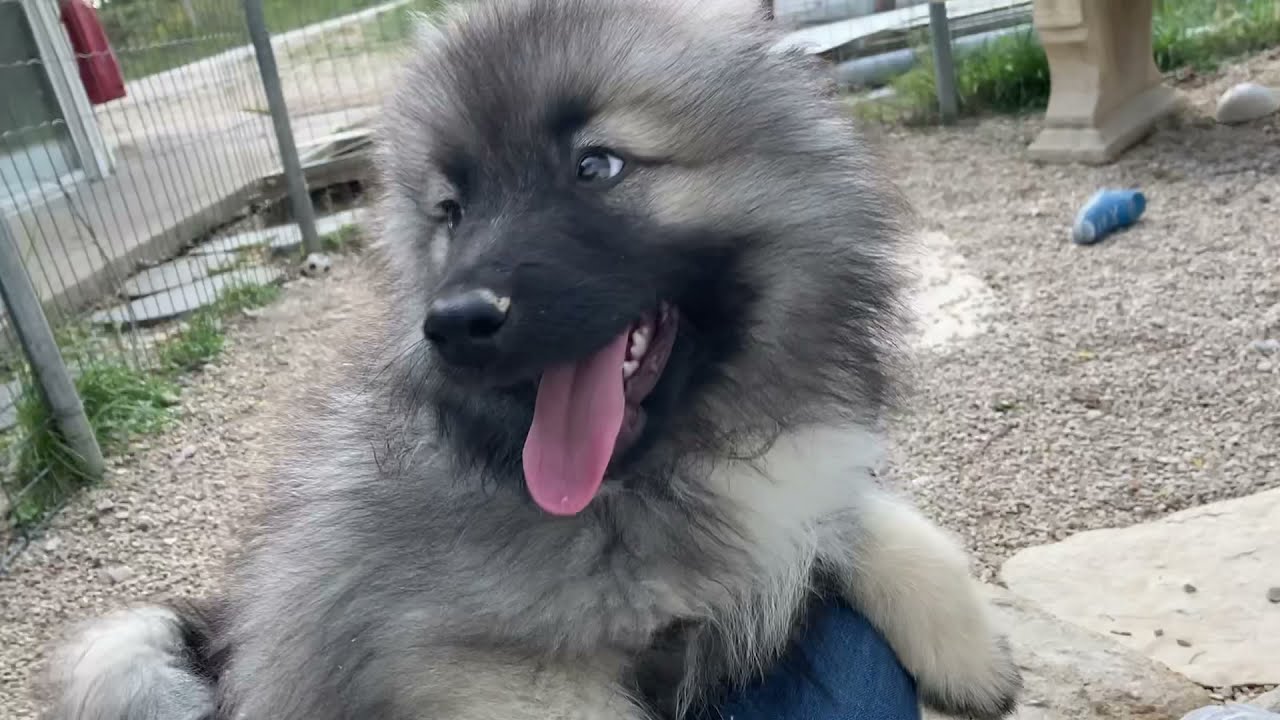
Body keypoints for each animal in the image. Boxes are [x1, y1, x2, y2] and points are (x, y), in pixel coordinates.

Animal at [42, 1, 1022, 718]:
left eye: (597, 166)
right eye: (452, 210)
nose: (455, 323)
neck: (668, 468)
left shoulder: (795, 487)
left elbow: (865, 511)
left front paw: (970, 642)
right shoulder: (470, 660)